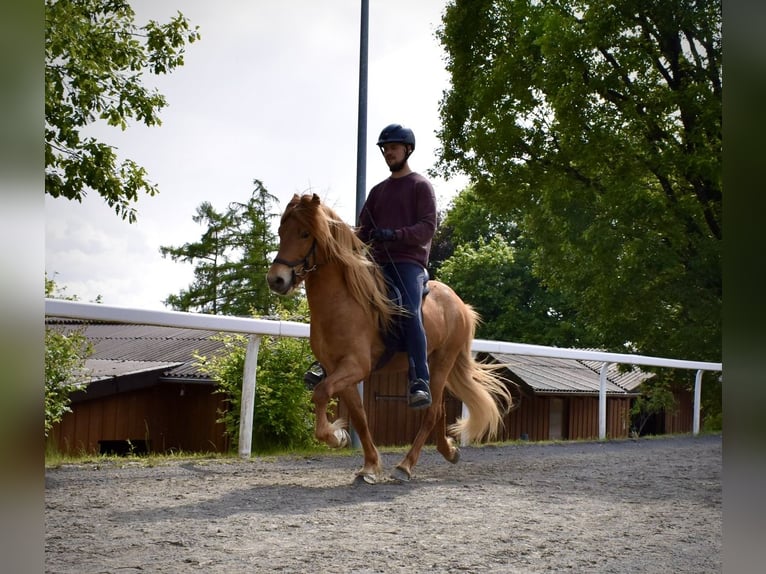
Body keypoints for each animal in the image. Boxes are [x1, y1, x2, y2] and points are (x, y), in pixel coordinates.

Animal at [266, 193, 513, 483]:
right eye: (281, 232)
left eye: (305, 234)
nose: (276, 280)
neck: (343, 302)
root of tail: (461, 306)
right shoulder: (338, 369)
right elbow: (359, 417)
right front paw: (369, 465)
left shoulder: (356, 366)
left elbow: (321, 392)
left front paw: (336, 437)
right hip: (427, 365)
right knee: (438, 409)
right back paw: (448, 451)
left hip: (443, 362)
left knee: (431, 412)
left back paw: (406, 465)